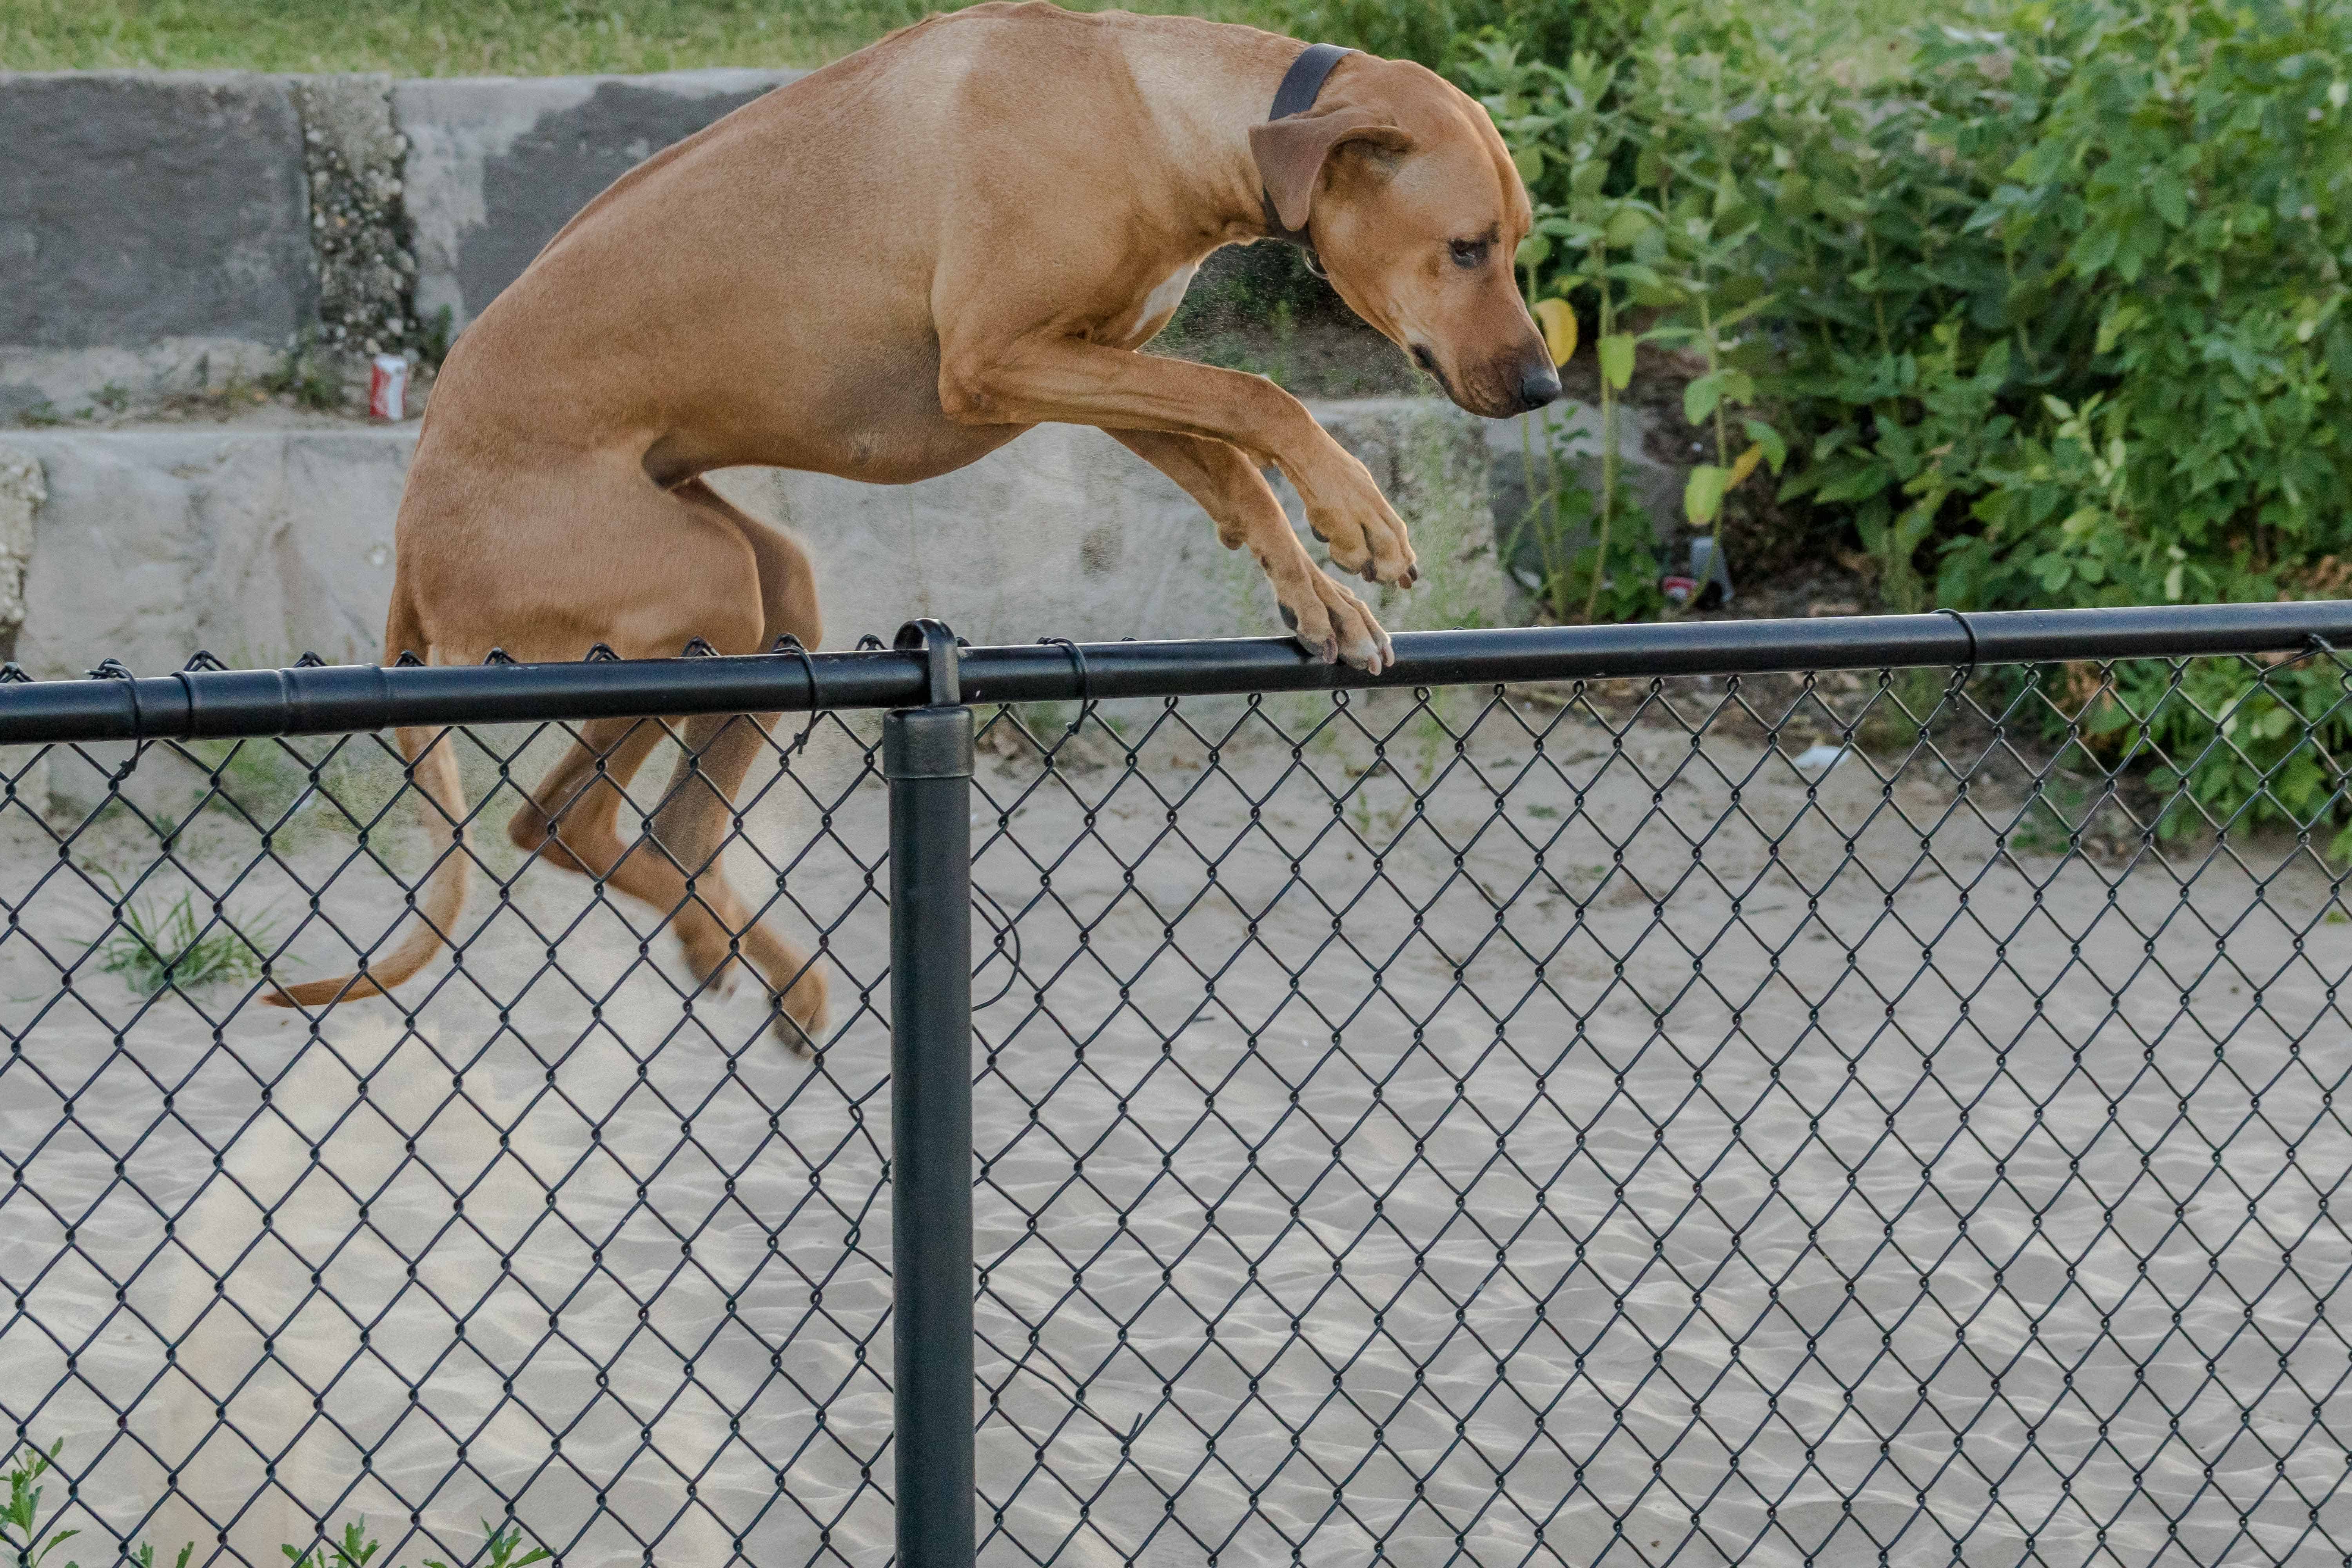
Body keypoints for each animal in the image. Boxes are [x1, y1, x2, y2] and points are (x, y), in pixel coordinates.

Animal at [267, 9, 1562, 1053]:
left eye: (1515, 242)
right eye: (1465, 247)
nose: (1546, 386)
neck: (1153, 110)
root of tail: (412, 539)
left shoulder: (1099, 366)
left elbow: (1233, 460)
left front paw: (1317, 594)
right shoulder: (999, 361)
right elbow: (1258, 397)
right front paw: (1358, 512)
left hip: (766, 587)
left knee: (636, 825)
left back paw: (754, 965)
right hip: (696, 585)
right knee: (567, 816)